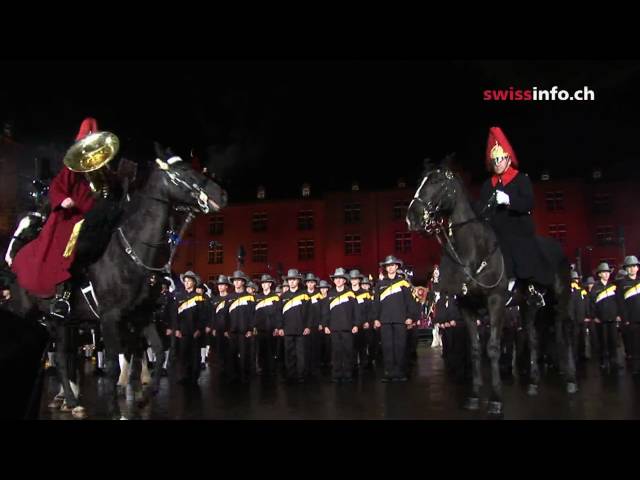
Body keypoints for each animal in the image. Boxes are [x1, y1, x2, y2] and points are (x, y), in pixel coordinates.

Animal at [2, 156, 226, 418]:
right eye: (183, 171)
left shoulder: (140, 317)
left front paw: (143, 397)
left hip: (60, 322)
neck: (131, 255)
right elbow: (112, 363)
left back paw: (72, 400)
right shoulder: (110, 318)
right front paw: (116, 408)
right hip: (31, 315)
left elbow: (158, 352)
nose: (221, 194)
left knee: (61, 358)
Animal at [408, 158, 576, 416]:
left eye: (436, 181)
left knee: (563, 332)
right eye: (420, 181)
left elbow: (493, 348)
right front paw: (474, 396)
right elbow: (476, 349)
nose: (412, 217)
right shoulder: (466, 307)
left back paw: (570, 379)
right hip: (529, 305)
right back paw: (534, 383)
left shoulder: (496, 302)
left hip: (562, 298)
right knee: (534, 336)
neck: (473, 250)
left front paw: (496, 399)